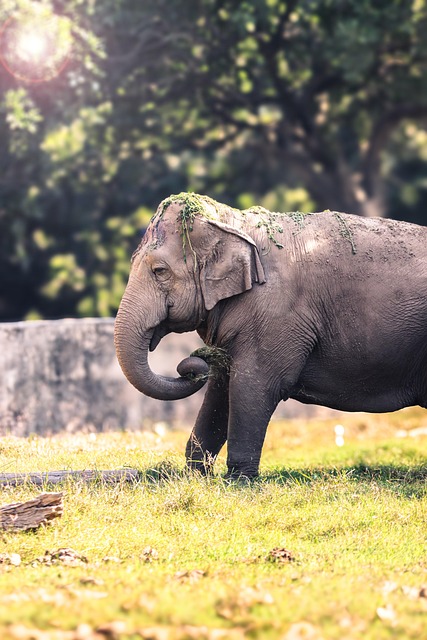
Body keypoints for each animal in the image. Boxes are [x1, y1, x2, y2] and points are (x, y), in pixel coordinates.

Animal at [114, 192, 427, 478]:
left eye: (159, 270)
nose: (195, 361)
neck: (232, 221)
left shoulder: (275, 313)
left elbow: (255, 384)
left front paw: (239, 481)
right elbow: (221, 387)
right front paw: (195, 476)